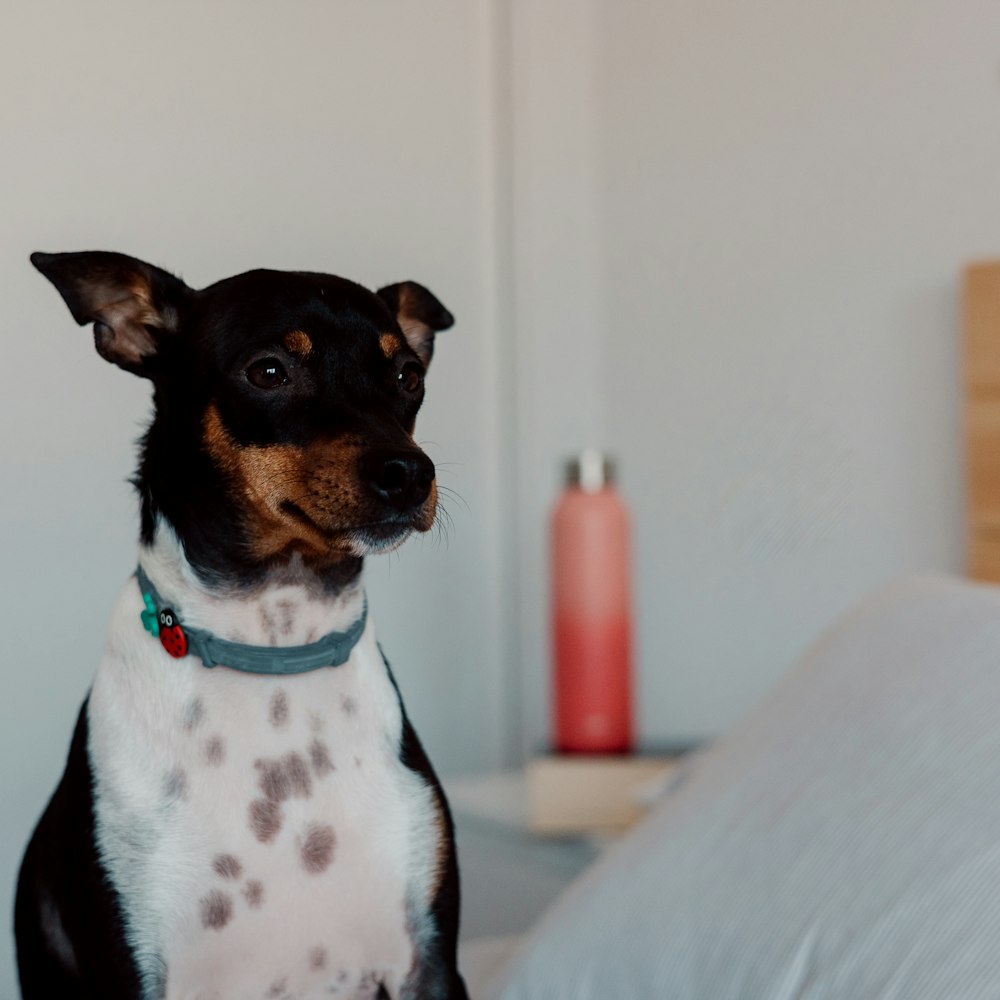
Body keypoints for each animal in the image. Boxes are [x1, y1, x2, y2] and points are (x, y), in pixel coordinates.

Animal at [15, 252, 468, 1000]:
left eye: (408, 376)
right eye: (269, 372)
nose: (409, 472)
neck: (274, 645)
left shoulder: (428, 965)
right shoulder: (134, 972)